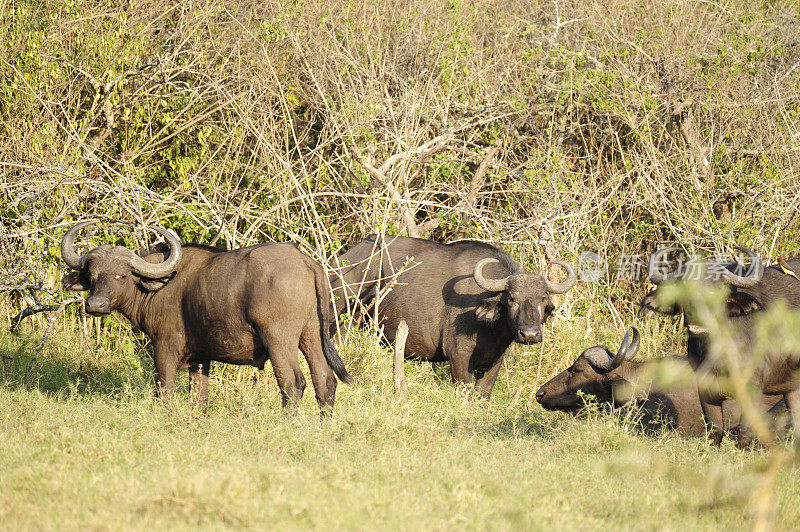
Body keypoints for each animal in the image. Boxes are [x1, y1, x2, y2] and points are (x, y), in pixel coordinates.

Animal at [59, 219, 354, 412]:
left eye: (121, 275)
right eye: (92, 275)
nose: (95, 305)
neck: (159, 284)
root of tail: (306, 262)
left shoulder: (164, 346)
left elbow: (164, 388)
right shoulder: (200, 358)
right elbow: (198, 396)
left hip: (279, 339)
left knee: (293, 383)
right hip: (312, 335)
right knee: (324, 380)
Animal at [330, 235, 576, 396]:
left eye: (542, 299)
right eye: (511, 298)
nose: (530, 334)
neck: (490, 328)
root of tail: (343, 261)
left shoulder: (495, 361)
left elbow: (482, 394)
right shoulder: (458, 355)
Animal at [640, 248, 800, 444]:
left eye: (716, 290)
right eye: (685, 287)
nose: (696, 313)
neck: (718, 355)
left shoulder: (753, 389)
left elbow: (744, 431)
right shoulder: (705, 389)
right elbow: (715, 429)